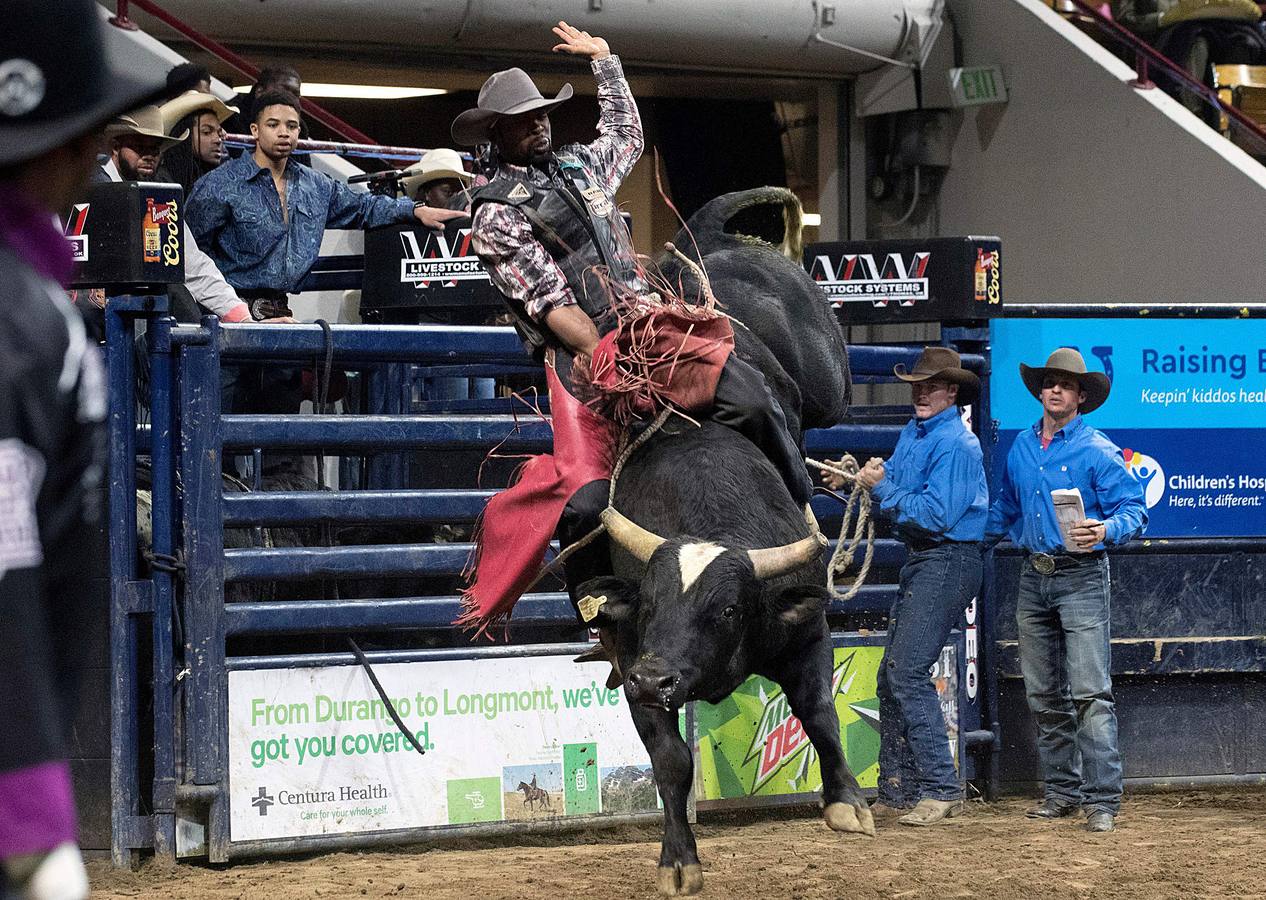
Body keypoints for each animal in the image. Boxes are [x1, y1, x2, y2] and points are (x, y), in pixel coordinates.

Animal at [577, 186, 865, 896]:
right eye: (649, 603)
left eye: (729, 608)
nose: (657, 677)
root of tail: (706, 239)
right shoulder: (633, 659)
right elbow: (672, 761)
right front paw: (678, 857)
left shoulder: (806, 629)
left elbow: (819, 711)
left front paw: (847, 802)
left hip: (827, 377)